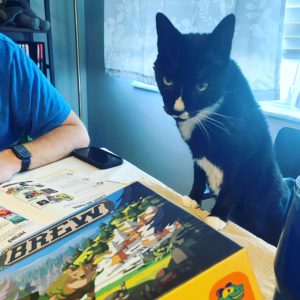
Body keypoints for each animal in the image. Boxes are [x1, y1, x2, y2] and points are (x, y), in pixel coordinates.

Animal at [154, 12, 290, 246]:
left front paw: (216, 217)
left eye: (202, 86)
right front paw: (193, 199)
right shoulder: (197, 151)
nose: (177, 109)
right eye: (168, 80)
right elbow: (199, 173)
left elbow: (232, 186)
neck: (205, 118)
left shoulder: (245, 157)